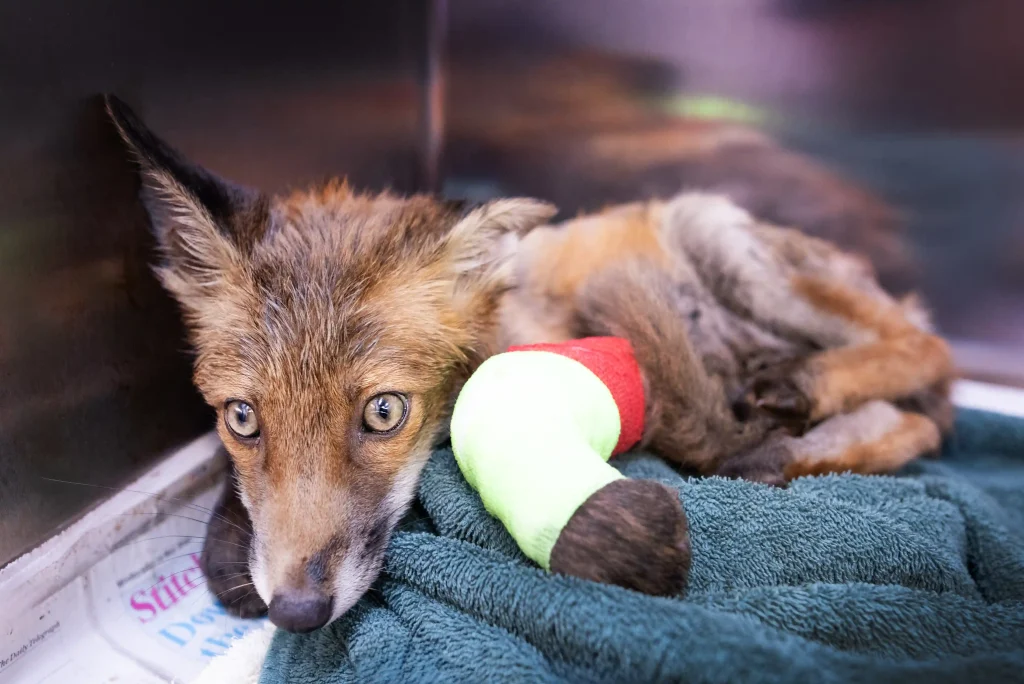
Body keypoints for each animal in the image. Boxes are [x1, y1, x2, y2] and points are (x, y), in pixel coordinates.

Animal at [105, 96, 955, 633]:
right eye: (242, 419)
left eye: (383, 412)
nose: (297, 614)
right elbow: (226, 545)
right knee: (911, 420)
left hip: (718, 235)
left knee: (927, 355)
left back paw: (805, 395)